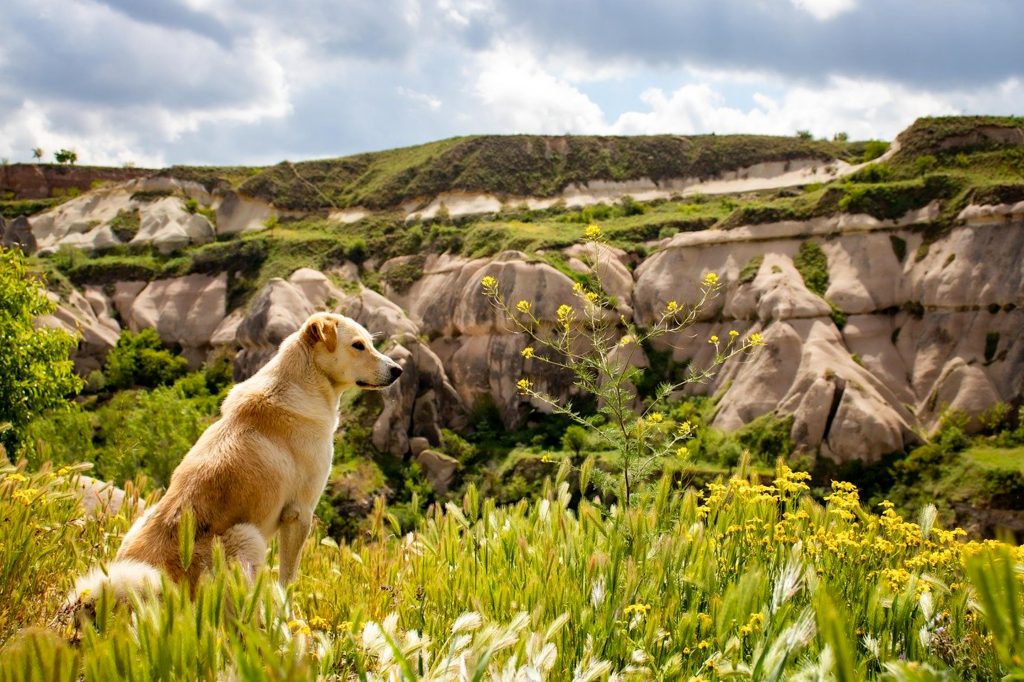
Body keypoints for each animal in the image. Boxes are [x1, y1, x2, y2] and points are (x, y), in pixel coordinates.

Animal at [66, 311, 401, 602]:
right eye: (358, 345)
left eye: (370, 342)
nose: (398, 370)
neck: (302, 381)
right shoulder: (300, 512)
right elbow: (288, 578)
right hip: (246, 537)